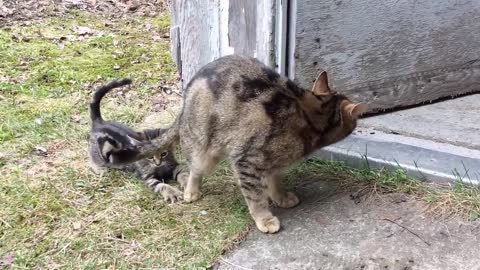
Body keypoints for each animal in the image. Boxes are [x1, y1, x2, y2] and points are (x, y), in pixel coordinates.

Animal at [118, 55, 370, 232]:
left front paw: (281, 197)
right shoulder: (247, 161)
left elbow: (274, 183)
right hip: (204, 151)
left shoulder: (273, 163)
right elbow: (256, 197)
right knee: (193, 171)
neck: (309, 114)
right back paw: (191, 191)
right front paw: (264, 219)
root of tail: (185, 101)